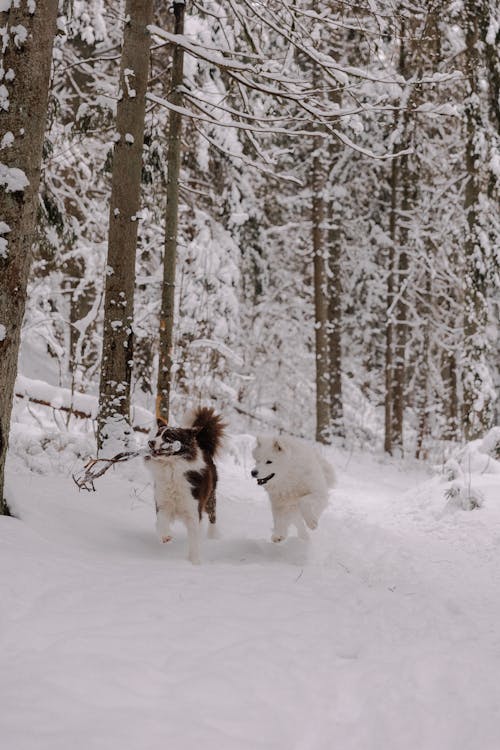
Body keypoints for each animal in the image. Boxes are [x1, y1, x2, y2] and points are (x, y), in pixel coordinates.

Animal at [143, 412, 225, 564]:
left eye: (168, 437)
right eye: (157, 434)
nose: (150, 442)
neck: (171, 468)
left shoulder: (193, 509)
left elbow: (194, 539)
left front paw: (194, 562)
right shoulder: (163, 503)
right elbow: (161, 521)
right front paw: (166, 536)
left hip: (210, 497)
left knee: (213, 515)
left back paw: (213, 535)